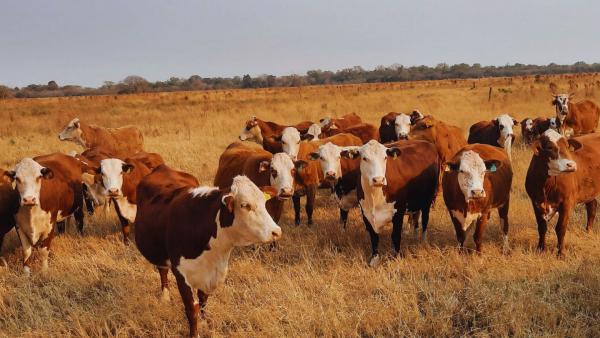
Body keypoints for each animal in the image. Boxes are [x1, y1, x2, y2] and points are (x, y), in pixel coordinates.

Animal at [135, 166, 280, 338]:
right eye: (245, 205)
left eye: (264, 202)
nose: (276, 232)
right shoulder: (182, 275)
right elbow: (192, 309)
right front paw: (195, 333)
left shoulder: (210, 274)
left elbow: (203, 301)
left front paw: (204, 324)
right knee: (162, 270)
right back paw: (164, 296)